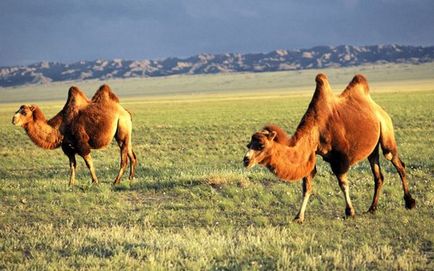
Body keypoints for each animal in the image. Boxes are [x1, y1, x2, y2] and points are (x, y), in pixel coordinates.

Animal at [244, 74, 418, 223]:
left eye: (261, 145)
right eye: (248, 144)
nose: (246, 160)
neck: (315, 130)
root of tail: (378, 108)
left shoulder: (340, 159)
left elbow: (343, 184)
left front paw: (350, 212)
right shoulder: (311, 155)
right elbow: (307, 186)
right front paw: (299, 217)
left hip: (386, 131)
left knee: (396, 161)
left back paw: (410, 202)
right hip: (372, 147)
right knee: (378, 175)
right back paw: (372, 208)